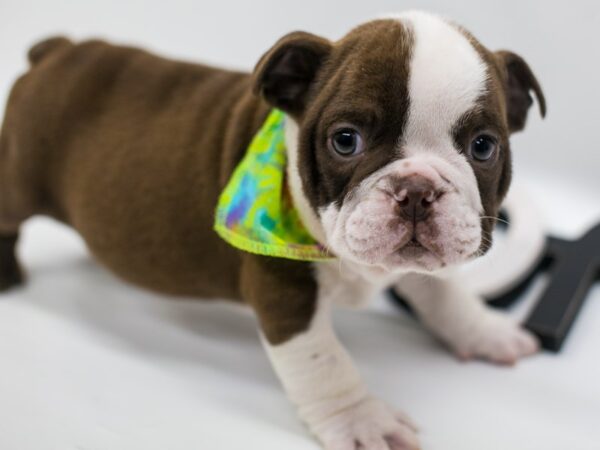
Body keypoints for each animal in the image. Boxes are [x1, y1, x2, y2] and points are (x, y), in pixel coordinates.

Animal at [0, 10, 544, 450]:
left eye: (483, 147)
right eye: (345, 140)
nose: (416, 190)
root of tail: (59, 49)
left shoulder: (421, 263)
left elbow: (445, 296)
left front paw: (485, 331)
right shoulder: (284, 287)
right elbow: (324, 363)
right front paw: (362, 422)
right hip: (19, 176)